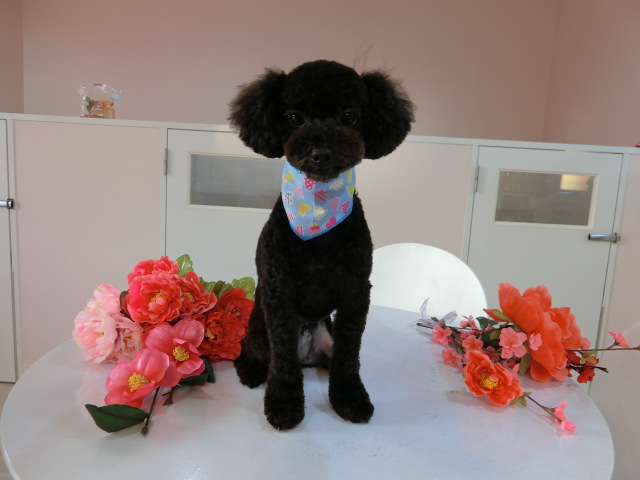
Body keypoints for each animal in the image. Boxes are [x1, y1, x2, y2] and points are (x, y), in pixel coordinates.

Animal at [228, 59, 414, 430]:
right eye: (295, 117)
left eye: (349, 116)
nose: (322, 153)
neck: (318, 209)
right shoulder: (278, 291)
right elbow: (282, 359)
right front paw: (284, 403)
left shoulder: (356, 291)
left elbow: (349, 354)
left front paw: (350, 397)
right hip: (258, 325)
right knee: (256, 352)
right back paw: (252, 369)